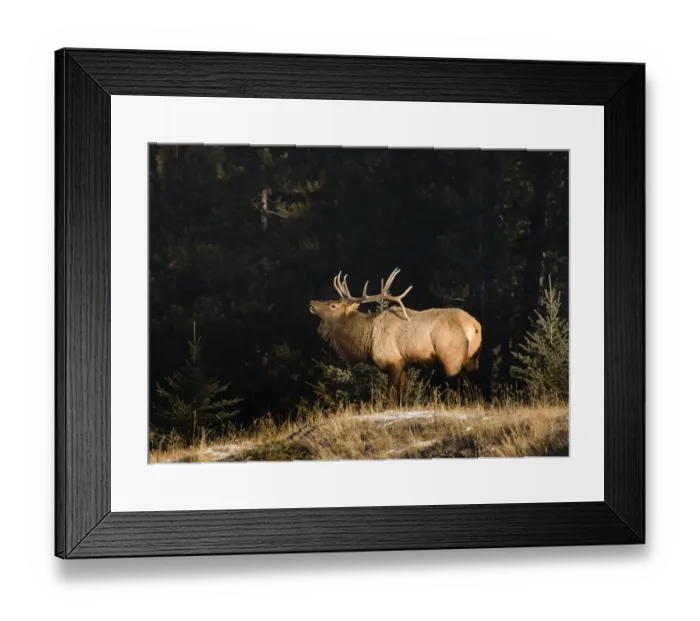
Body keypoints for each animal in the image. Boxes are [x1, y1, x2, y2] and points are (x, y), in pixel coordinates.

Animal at [309, 268, 482, 405]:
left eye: (333, 305)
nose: (312, 303)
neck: (366, 340)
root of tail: (475, 326)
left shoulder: (393, 360)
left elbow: (391, 395)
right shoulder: (404, 363)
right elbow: (401, 395)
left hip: (450, 355)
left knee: (458, 381)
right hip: (472, 356)